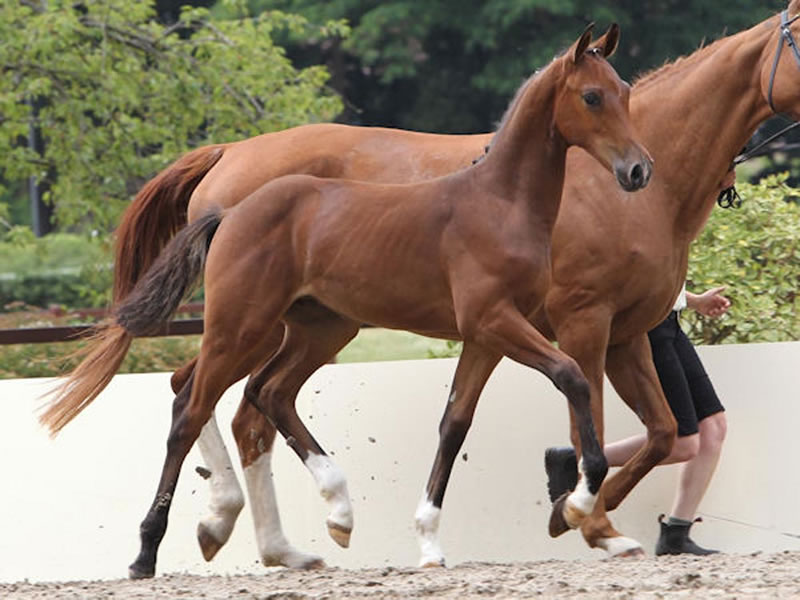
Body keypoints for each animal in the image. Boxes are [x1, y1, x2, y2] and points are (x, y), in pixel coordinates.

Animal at [42, 25, 656, 580]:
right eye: (591, 96)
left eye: (625, 91)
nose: (638, 170)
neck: (500, 204)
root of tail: (229, 213)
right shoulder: (497, 322)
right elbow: (573, 377)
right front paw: (579, 502)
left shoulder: (485, 337)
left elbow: (454, 423)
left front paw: (429, 542)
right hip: (241, 327)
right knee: (191, 409)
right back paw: (150, 551)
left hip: (320, 329)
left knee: (266, 395)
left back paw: (327, 517)